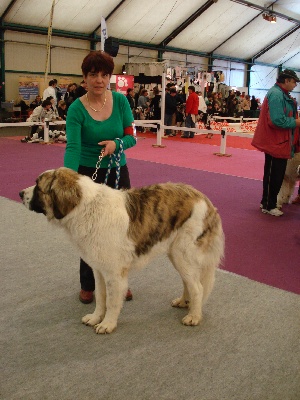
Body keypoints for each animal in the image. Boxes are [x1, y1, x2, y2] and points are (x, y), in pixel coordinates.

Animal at [19, 168, 225, 334]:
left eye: (38, 186)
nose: (20, 193)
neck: (85, 209)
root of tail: (204, 199)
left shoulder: (114, 273)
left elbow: (112, 301)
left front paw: (107, 324)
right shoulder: (99, 270)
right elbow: (101, 297)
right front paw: (95, 318)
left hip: (183, 254)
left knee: (197, 287)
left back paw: (194, 316)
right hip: (177, 255)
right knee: (189, 282)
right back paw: (184, 302)